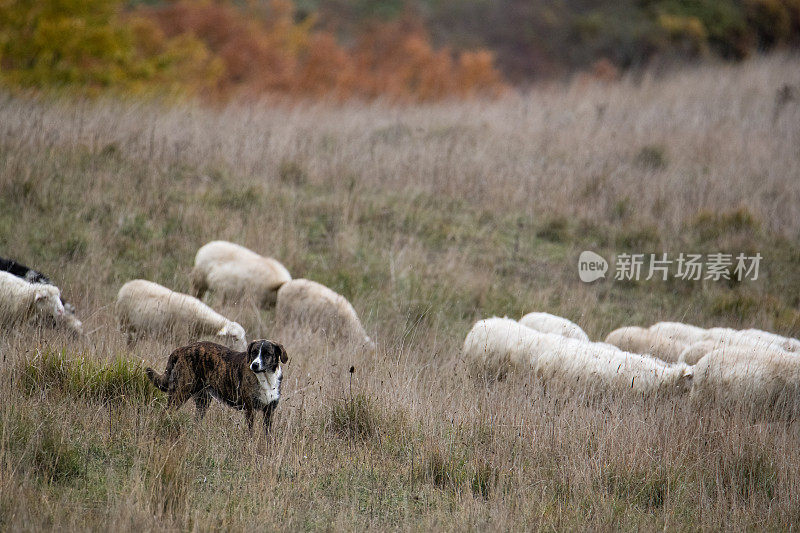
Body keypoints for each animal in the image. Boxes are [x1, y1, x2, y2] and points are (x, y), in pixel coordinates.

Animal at [112, 278, 244, 350]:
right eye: (235, 338)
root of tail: (127, 284)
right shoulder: (181, 335)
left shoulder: (192, 337)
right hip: (125, 323)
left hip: (139, 329)